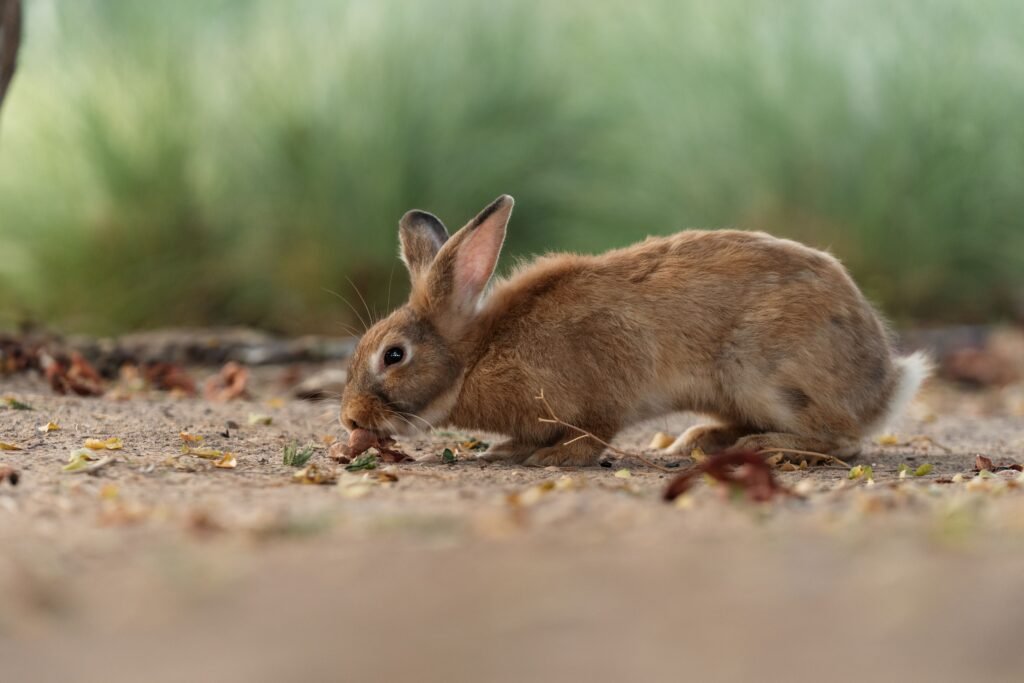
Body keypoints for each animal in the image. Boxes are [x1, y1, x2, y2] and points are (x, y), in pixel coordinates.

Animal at [339, 194, 931, 467]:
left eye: (393, 356)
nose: (349, 419)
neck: (477, 355)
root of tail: (885, 383)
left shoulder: (605, 383)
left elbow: (593, 432)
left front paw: (552, 459)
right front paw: (503, 452)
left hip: (764, 374)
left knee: (842, 440)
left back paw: (765, 447)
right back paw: (701, 440)